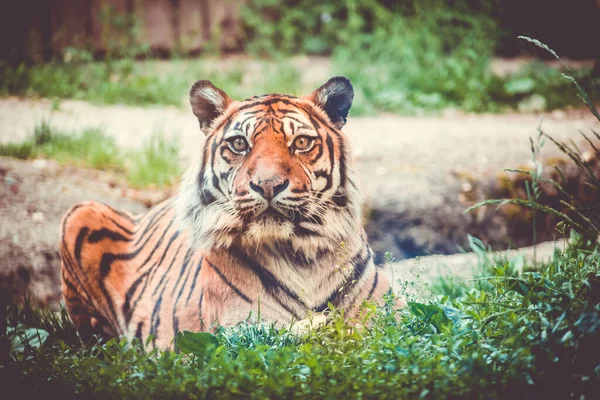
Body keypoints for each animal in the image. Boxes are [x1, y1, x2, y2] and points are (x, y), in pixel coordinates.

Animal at [59, 77, 404, 346]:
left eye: (301, 143)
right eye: (239, 144)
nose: (267, 185)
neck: (304, 257)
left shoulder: (390, 313)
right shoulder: (235, 327)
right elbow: (279, 332)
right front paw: (319, 325)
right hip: (80, 212)